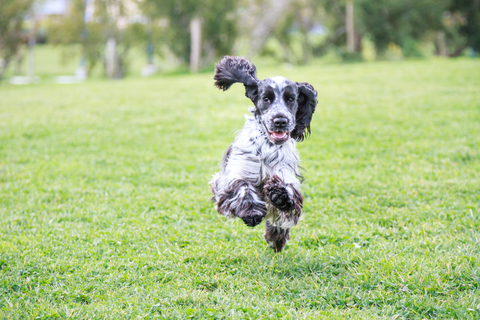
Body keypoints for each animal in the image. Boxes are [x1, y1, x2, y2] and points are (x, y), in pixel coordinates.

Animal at [209, 57, 316, 252]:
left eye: (291, 99)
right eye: (266, 98)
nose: (280, 121)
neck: (268, 145)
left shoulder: (284, 171)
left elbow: (289, 191)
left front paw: (280, 195)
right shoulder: (238, 171)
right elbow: (242, 187)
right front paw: (251, 213)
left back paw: (276, 239)